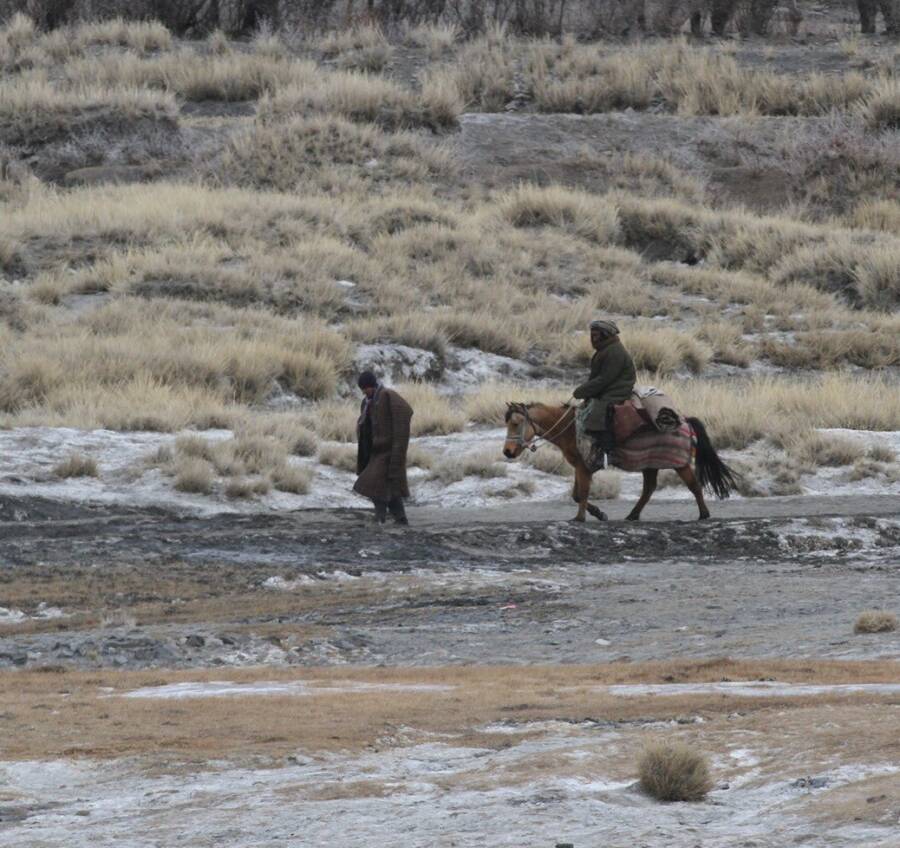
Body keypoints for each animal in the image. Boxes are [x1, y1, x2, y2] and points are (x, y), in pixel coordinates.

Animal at [500, 400, 740, 520]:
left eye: (515, 423)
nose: (508, 452)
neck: (569, 427)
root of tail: (684, 421)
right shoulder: (580, 465)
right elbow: (577, 495)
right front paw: (599, 514)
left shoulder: (584, 466)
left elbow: (582, 493)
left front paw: (580, 519)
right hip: (650, 464)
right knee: (649, 489)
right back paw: (632, 515)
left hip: (679, 463)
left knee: (694, 486)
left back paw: (704, 515)